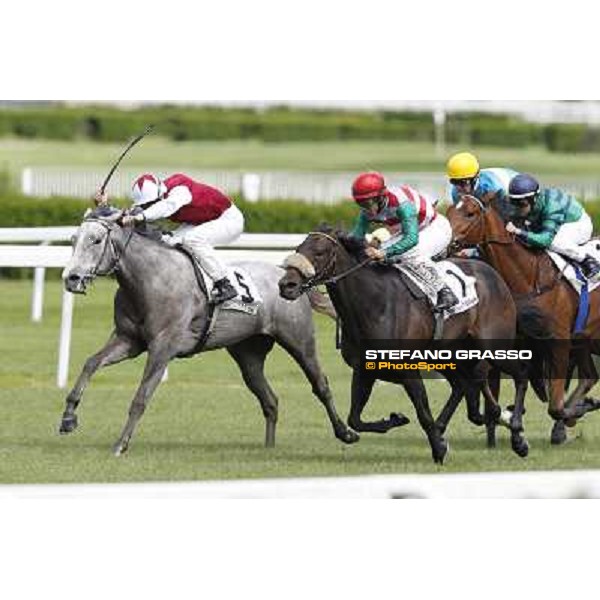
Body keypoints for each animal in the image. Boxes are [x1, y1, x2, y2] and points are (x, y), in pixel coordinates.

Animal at [58, 206, 358, 454]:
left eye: (96, 240)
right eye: (73, 240)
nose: (71, 278)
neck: (151, 279)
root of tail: (289, 279)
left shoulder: (163, 347)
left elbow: (141, 397)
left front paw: (121, 444)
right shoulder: (128, 341)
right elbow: (90, 363)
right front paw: (68, 418)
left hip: (299, 340)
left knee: (321, 385)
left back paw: (345, 433)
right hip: (247, 354)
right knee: (269, 399)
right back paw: (269, 447)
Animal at [276, 226, 528, 464]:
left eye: (319, 252)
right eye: (299, 248)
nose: (286, 285)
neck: (375, 304)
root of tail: (493, 274)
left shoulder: (407, 369)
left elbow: (423, 412)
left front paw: (438, 449)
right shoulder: (365, 369)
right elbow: (355, 419)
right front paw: (397, 420)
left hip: (494, 347)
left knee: (519, 375)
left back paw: (517, 434)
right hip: (449, 354)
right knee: (462, 385)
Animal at [448, 195, 600, 442]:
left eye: (471, 213)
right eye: (451, 210)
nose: (447, 241)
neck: (529, 277)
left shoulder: (559, 341)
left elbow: (555, 406)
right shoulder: (517, 339)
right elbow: (496, 374)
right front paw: (512, 423)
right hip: (584, 340)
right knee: (589, 377)